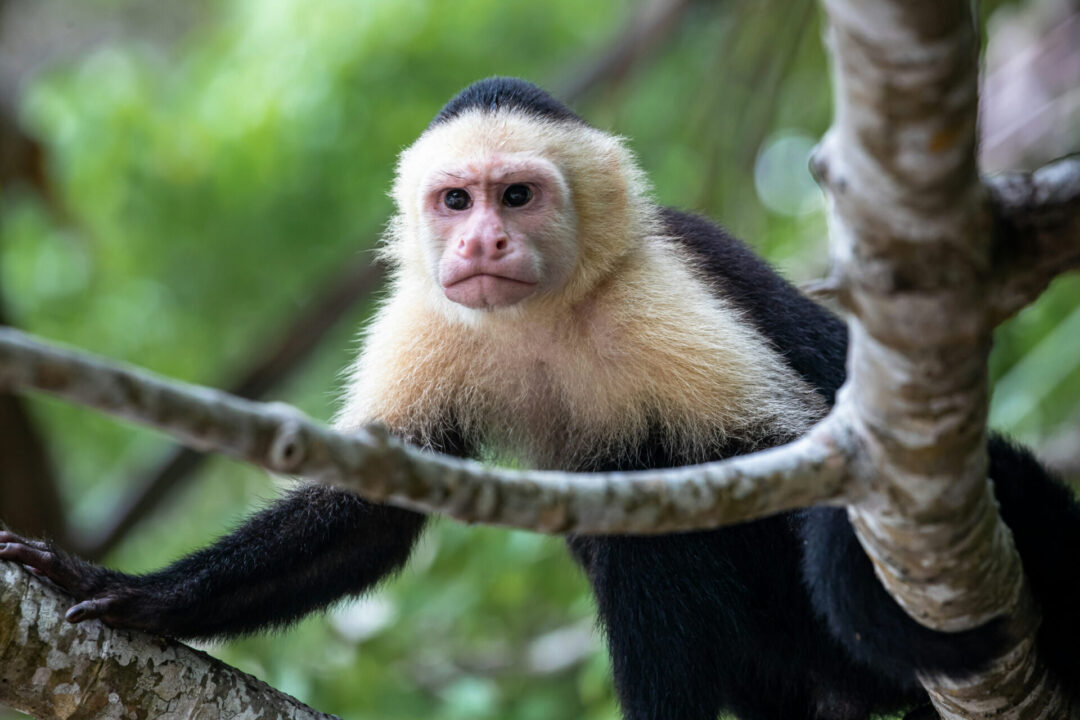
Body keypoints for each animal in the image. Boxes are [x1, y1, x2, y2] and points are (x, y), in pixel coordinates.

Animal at [2, 77, 1078, 720]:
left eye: (517, 196)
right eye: (456, 202)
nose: (482, 241)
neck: (545, 317)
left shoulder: (662, 297)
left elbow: (799, 458)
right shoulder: (426, 315)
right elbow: (368, 514)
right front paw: (133, 595)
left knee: (651, 490)